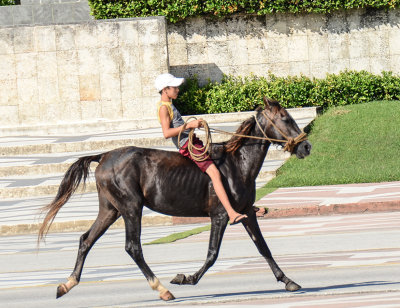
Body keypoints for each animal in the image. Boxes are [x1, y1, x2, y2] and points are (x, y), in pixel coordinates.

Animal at [37, 98, 312, 300]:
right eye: (285, 117)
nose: (306, 146)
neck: (237, 163)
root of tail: (103, 156)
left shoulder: (247, 213)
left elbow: (263, 247)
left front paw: (288, 280)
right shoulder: (221, 215)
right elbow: (212, 254)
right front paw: (186, 278)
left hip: (110, 209)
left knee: (86, 239)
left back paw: (67, 284)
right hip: (130, 207)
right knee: (133, 247)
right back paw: (162, 289)